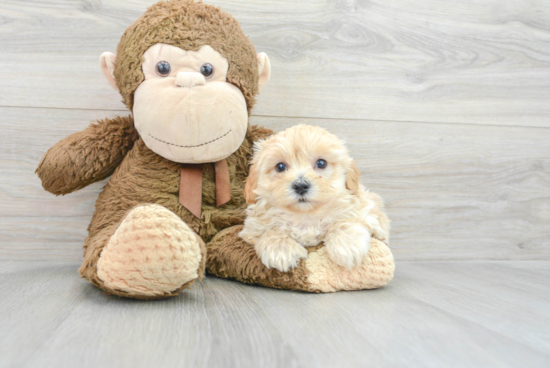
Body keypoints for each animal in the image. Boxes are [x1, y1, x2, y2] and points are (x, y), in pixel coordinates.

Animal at [239, 125, 390, 272]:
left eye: (321, 163)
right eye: (280, 166)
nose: (300, 185)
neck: (305, 215)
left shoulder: (367, 210)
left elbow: (345, 219)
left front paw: (348, 244)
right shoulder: (251, 228)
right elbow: (270, 231)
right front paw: (280, 250)